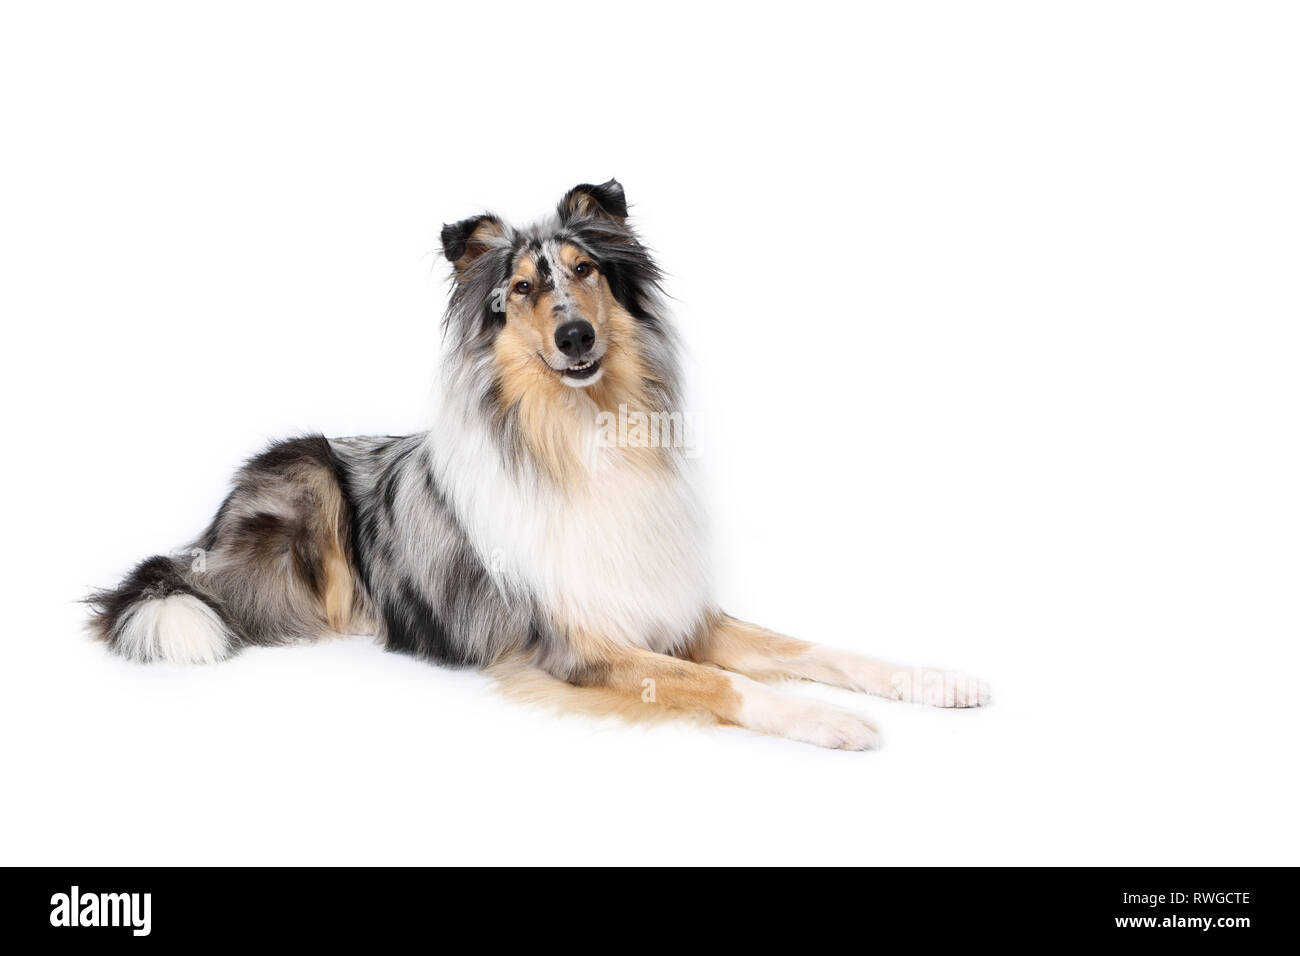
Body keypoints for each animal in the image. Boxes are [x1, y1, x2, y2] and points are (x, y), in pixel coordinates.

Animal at [89, 178, 982, 749]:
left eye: (585, 270)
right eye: (520, 288)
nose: (575, 336)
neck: (585, 437)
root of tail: (204, 538)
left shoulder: (672, 610)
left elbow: (813, 649)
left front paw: (931, 681)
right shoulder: (580, 644)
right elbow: (722, 684)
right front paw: (830, 721)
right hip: (305, 482)